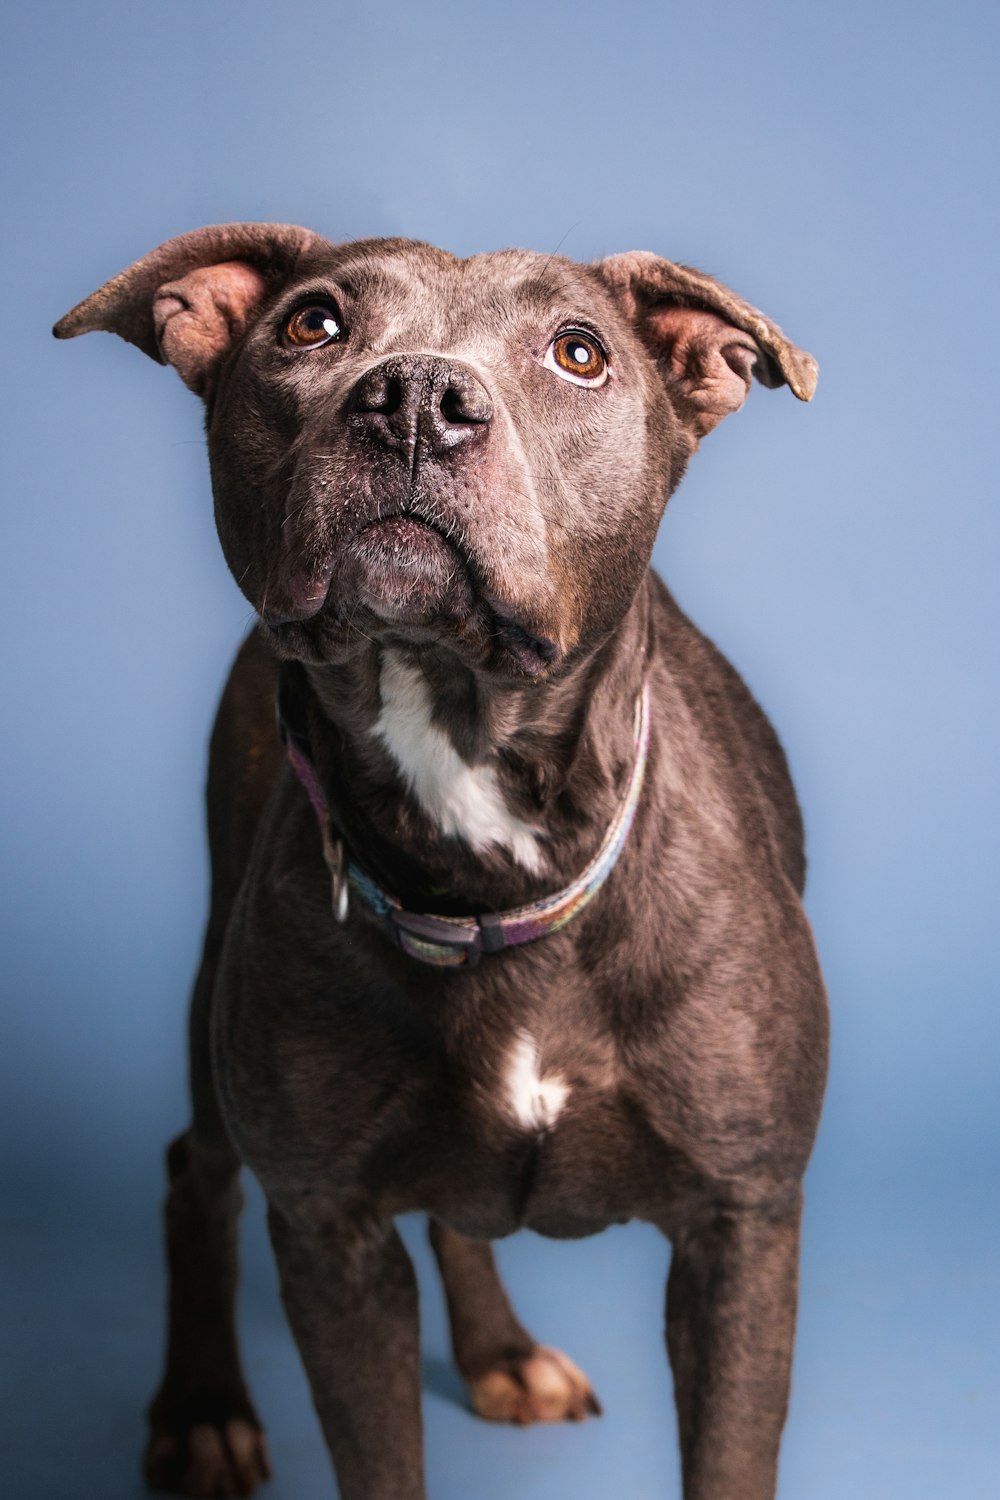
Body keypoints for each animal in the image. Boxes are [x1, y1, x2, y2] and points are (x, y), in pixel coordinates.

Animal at [58, 225, 833, 1500]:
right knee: (193, 1171)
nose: (415, 396)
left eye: (579, 352)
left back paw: (501, 1351)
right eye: (311, 325)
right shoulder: (327, 1227)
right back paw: (203, 1411)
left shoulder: (743, 1224)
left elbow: (727, 1455)